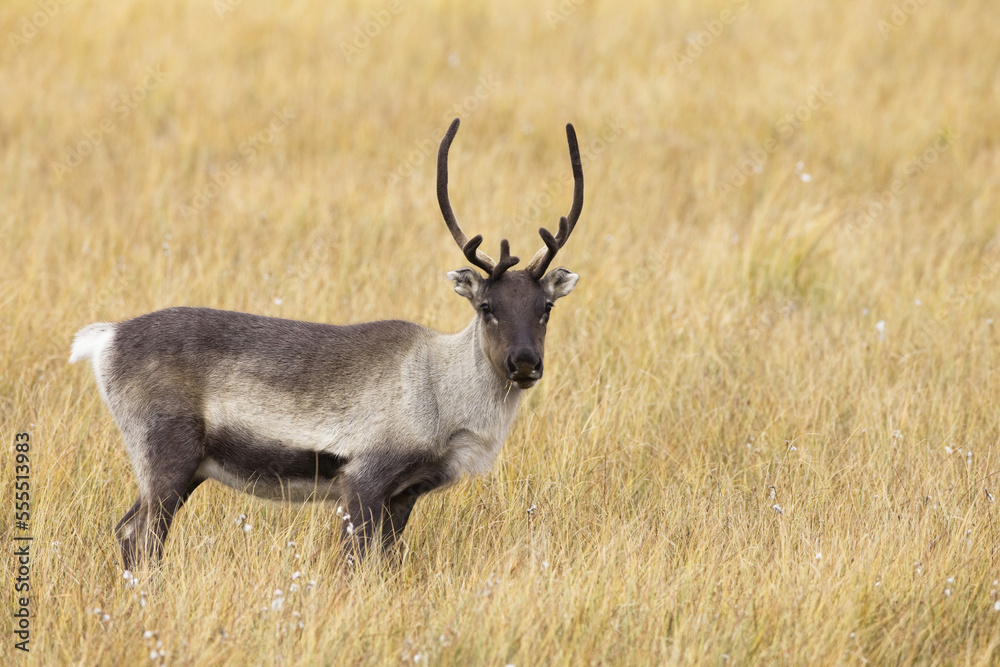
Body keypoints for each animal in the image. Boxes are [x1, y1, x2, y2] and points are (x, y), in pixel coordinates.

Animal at [70, 118, 583, 571]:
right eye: (487, 307)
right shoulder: (362, 480)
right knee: (139, 535)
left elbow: (386, 564)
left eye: (545, 307)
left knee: (129, 530)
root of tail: (107, 338)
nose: (524, 362)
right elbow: (353, 565)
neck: (442, 395)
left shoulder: (404, 495)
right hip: (166, 457)